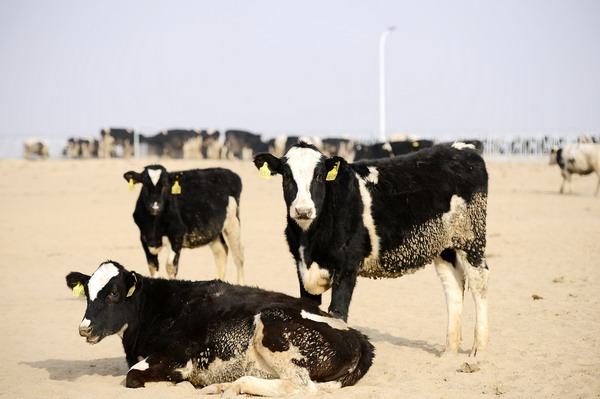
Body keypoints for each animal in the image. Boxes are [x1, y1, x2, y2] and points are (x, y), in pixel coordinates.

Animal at [67, 260, 376, 396]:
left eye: (113, 294)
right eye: (88, 294)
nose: (84, 328)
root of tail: (358, 336)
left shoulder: (174, 356)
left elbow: (133, 376)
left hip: (274, 325)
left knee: (300, 386)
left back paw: (233, 386)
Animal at [255, 143, 490, 356]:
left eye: (320, 175)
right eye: (286, 176)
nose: (303, 210)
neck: (310, 242)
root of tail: (462, 148)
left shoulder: (347, 267)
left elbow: (337, 314)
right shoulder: (302, 266)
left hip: (471, 237)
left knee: (479, 282)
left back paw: (479, 348)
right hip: (444, 246)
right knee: (453, 286)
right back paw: (449, 350)